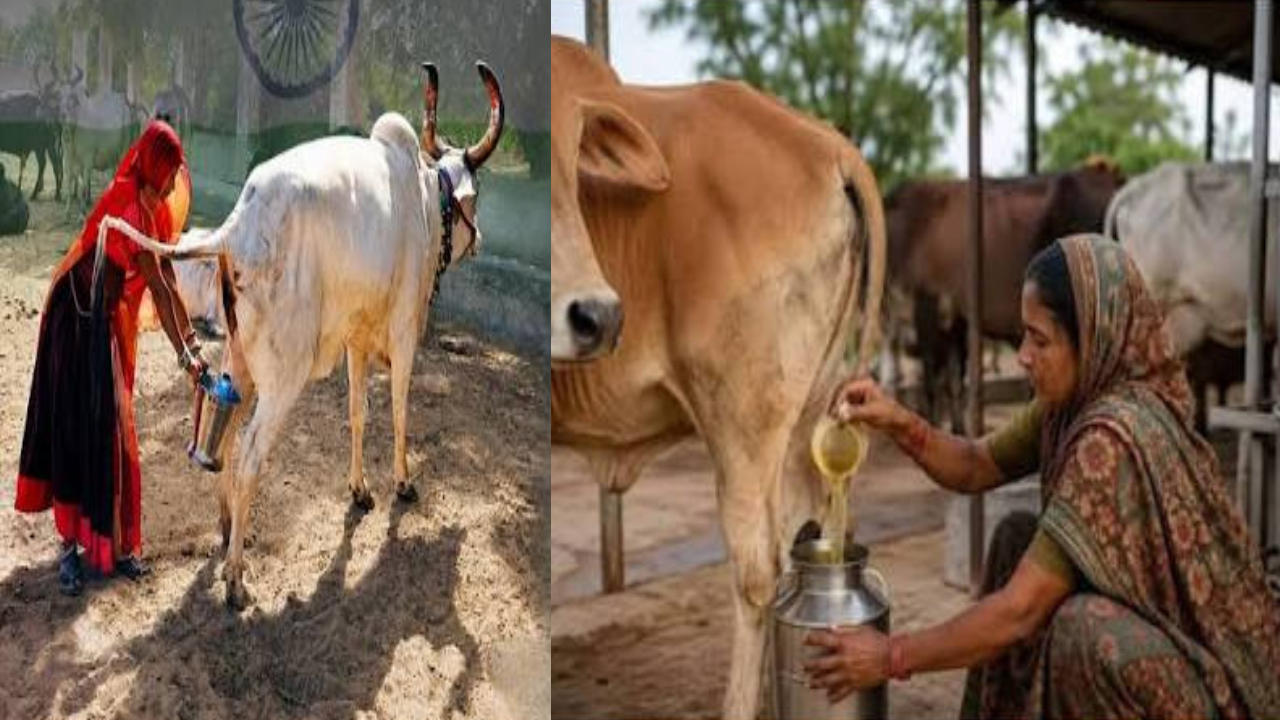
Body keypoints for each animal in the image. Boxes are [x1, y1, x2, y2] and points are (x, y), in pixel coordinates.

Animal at [102, 61, 504, 609]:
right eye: (475, 196)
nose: (479, 238)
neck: (422, 200)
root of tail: (237, 227)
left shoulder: (356, 339)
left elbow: (358, 413)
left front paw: (360, 489)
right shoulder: (404, 331)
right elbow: (400, 410)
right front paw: (402, 483)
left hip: (239, 363)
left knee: (229, 437)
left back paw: (228, 528)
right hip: (285, 376)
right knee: (250, 454)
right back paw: (235, 579)